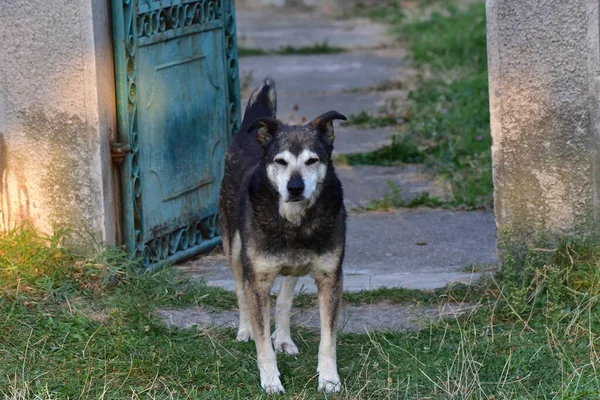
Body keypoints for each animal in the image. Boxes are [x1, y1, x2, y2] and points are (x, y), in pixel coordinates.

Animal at [219, 78, 346, 394]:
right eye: (280, 161)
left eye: (312, 160)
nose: (295, 187)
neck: (294, 221)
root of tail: (249, 134)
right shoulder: (258, 279)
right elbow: (263, 342)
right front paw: (270, 380)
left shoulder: (331, 277)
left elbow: (328, 339)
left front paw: (328, 379)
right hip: (233, 248)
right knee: (240, 291)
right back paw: (244, 330)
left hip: (293, 267)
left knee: (285, 300)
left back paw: (285, 339)